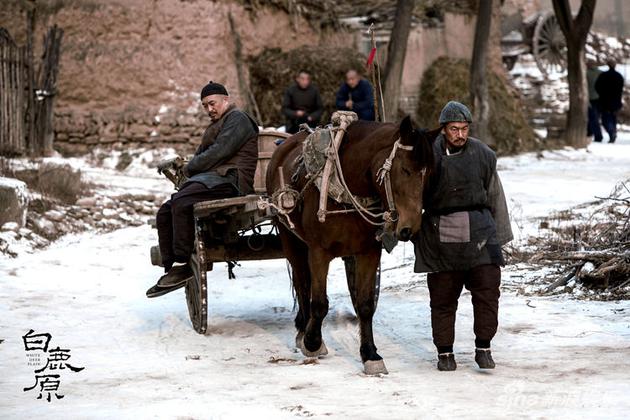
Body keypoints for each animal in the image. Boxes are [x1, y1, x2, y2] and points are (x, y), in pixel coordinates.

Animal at [266, 115, 440, 374]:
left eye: (429, 174)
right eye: (405, 169)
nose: (409, 228)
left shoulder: (369, 252)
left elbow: (365, 304)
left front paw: (370, 354)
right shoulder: (318, 251)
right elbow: (319, 302)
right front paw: (312, 342)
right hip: (288, 235)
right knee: (302, 282)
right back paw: (303, 331)